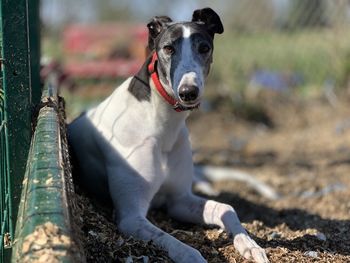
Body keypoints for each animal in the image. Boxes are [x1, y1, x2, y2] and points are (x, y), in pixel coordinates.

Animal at [69, 7, 270, 262]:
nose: (188, 92)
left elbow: (226, 208)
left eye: (204, 48)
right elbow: (178, 244)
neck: (161, 123)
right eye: (168, 49)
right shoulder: (131, 216)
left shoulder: (179, 200)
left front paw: (250, 245)